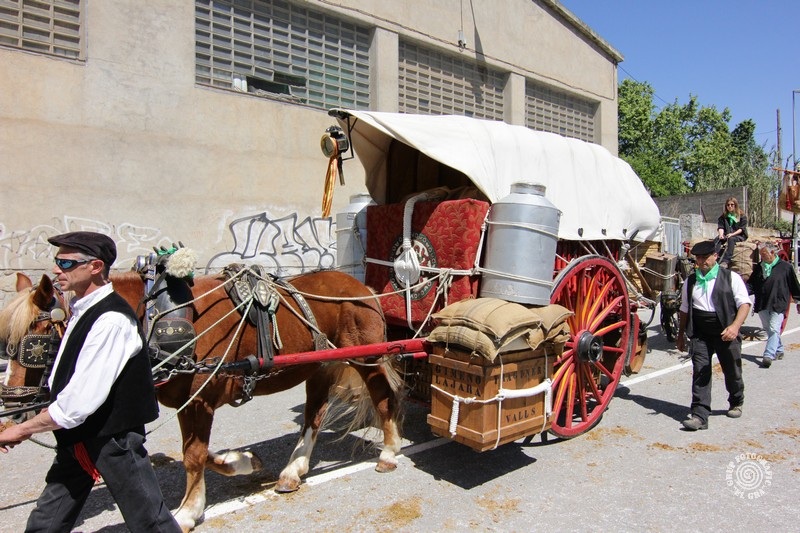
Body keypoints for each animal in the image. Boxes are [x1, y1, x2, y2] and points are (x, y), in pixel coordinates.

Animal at [1, 267, 403, 531]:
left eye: (38, 339)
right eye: (7, 342)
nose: (11, 411)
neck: (154, 319)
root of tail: (359, 285)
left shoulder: (199, 399)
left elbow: (193, 455)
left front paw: (188, 512)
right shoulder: (186, 402)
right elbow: (193, 453)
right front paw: (243, 461)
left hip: (366, 357)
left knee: (383, 397)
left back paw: (388, 451)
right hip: (317, 365)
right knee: (314, 415)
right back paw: (294, 469)